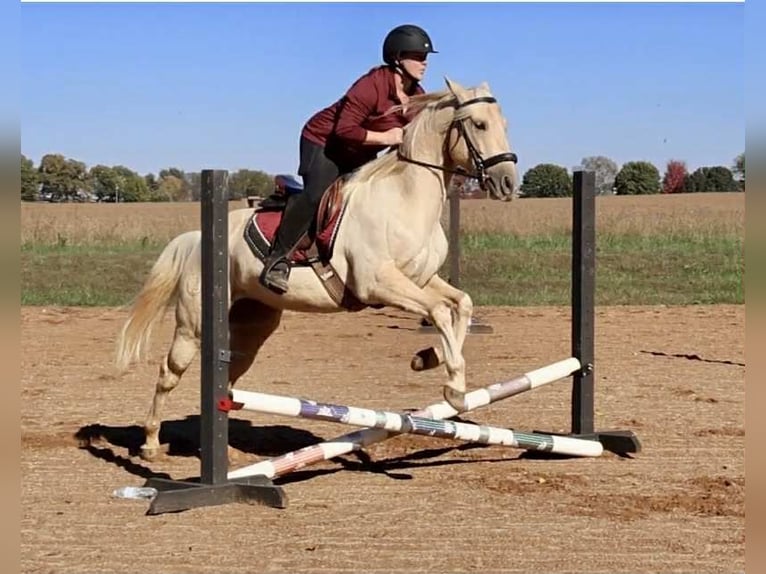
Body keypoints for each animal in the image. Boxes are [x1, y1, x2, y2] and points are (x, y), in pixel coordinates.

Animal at [115, 78, 519, 461]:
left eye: (504, 123)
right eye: (479, 124)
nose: (508, 183)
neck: (405, 198)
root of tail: (198, 237)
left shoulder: (421, 279)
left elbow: (460, 305)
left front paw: (429, 359)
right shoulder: (378, 284)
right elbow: (439, 311)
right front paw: (454, 390)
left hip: (254, 323)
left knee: (227, 380)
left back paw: (222, 449)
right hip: (193, 326)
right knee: (169, 372)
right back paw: (150, 443)